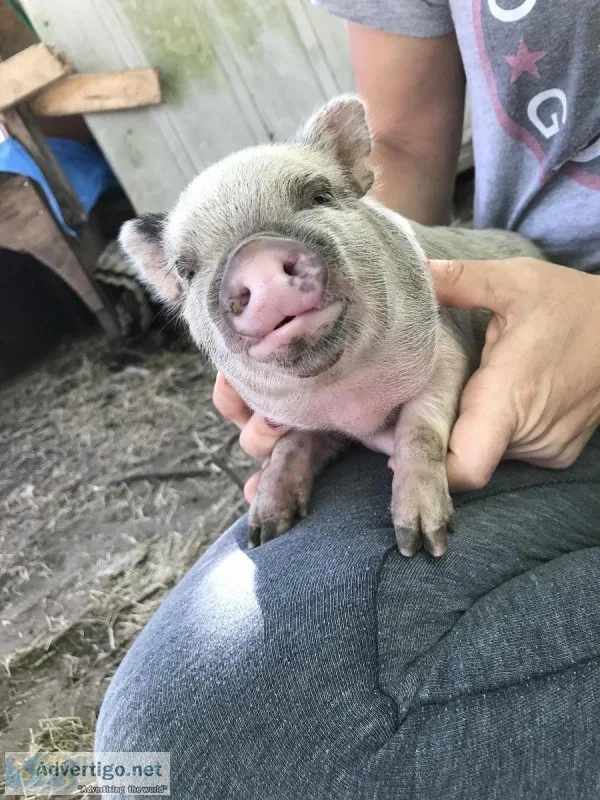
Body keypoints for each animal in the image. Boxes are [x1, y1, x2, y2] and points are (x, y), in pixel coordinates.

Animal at [120, 95, 544, 557]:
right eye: (187, 269)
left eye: (318, 197)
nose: (255, 257)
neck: (349, 399)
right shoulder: (295, 420)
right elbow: (288, 447)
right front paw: (262, 533)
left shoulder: (447, 353)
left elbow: (420, 429)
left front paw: (420, 543)